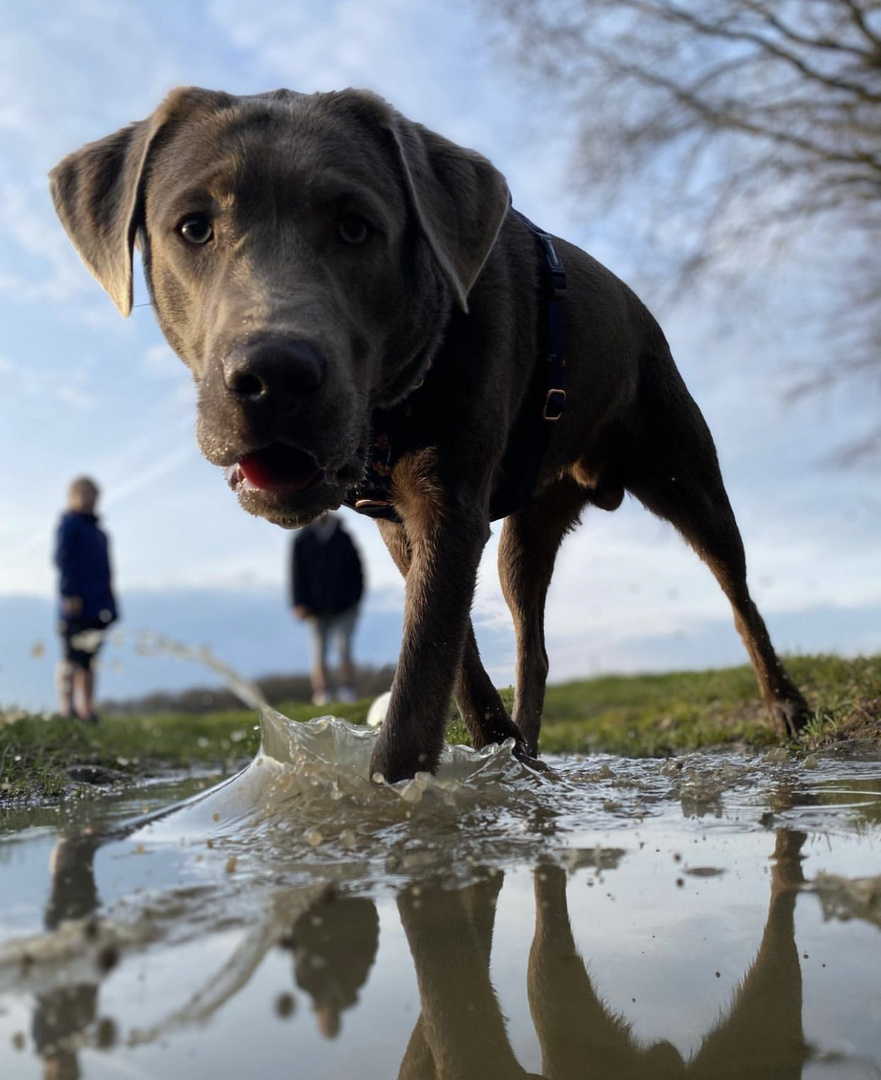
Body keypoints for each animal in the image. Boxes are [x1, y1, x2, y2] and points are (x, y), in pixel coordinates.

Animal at [48, 84, 803, 777]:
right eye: (193, 227)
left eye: (356, 228)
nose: (275, 376)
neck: (394, 409)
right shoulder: (402, 523)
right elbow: (451, 653)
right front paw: (490, 747)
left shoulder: (450, 502)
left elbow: (421, 673)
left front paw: (395, 789)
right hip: (529, 531)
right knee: (534, 645)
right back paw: (528, 755)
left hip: (686, 475)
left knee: (739, 596)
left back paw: (785, 705)